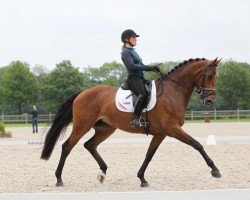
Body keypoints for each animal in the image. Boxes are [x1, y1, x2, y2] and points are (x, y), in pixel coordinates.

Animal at [41, 57, 223, 187]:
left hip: (106, 128)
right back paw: (59, 179)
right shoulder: (172, 129)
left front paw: (142, 178)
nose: (209, 101)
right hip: (82, 126)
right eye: (209, 76)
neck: (173, 92)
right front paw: (215, 170)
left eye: (216, 76)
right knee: (67, 146)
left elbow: (149, 154)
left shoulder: (161, 133)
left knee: (90, 145)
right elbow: (197, 144)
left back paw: (103, 173)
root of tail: (81, 93)